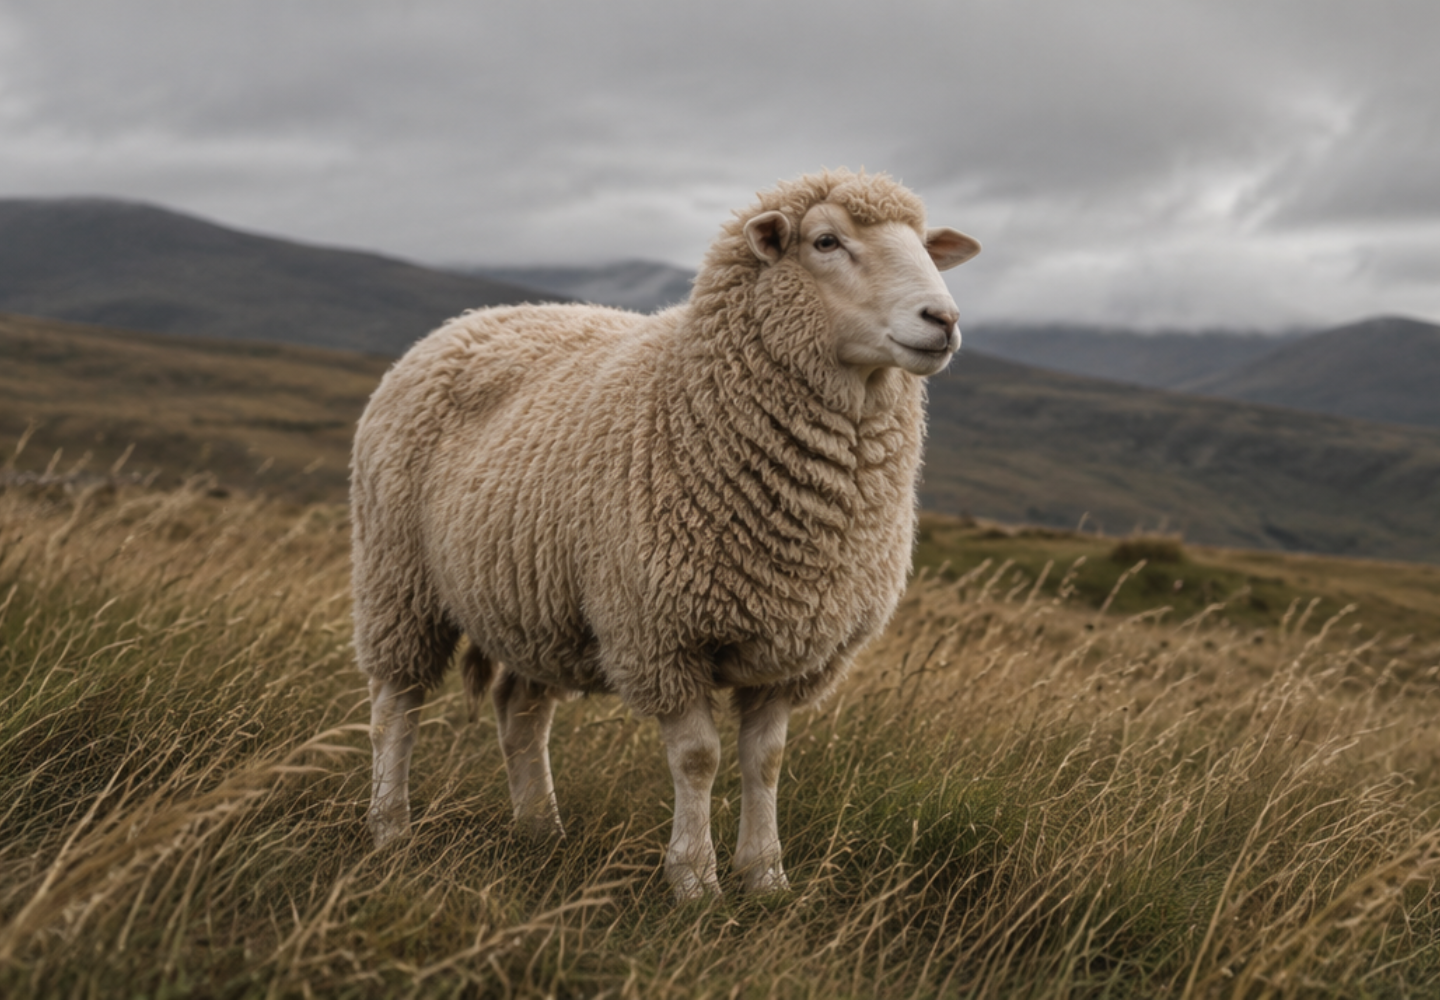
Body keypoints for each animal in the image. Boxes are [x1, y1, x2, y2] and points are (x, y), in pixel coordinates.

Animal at [351, 169, 980, 900]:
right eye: (826, 241)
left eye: (926, 246)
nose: (944, 320)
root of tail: (474, 317)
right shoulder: (661, 633)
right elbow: (700, 758)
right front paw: (695, 881)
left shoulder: (791, 643)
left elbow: (766, 760)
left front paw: (766, 877)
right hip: (398, 576)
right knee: (396, 707)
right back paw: (391, 829)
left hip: (537, 604)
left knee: (520, 711)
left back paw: (540, 828)